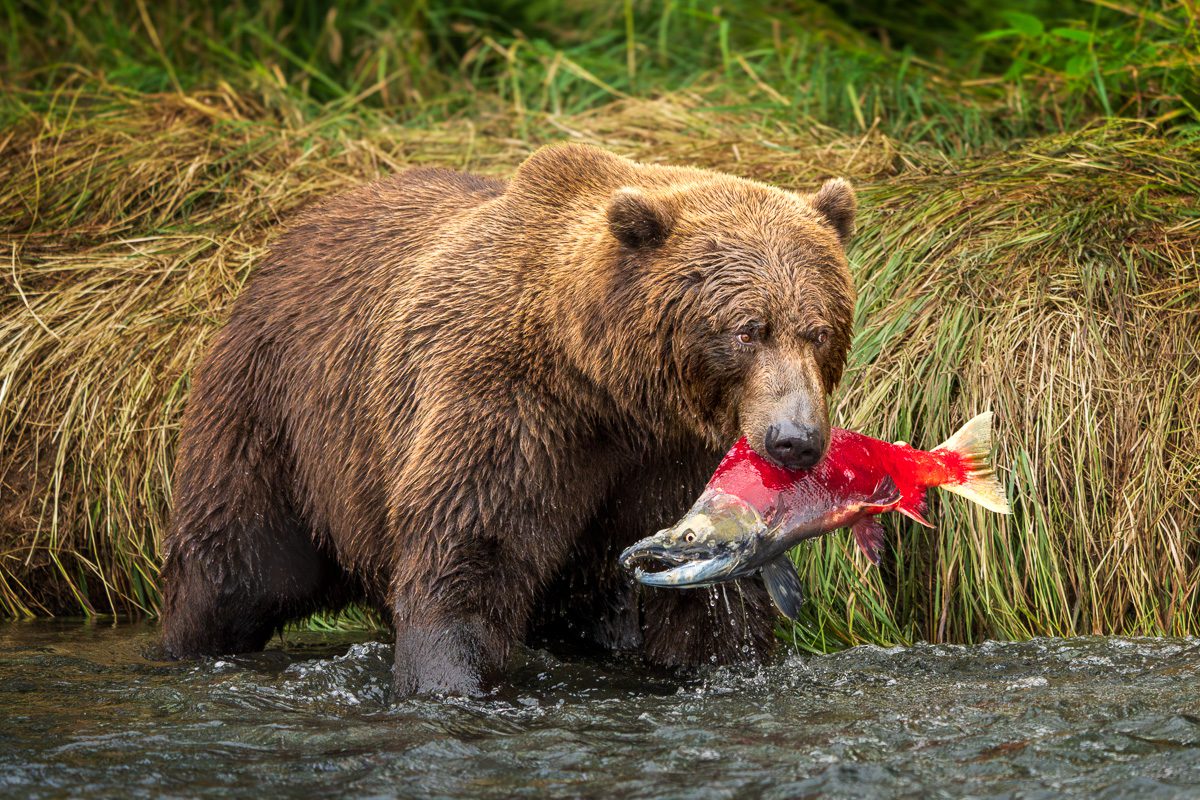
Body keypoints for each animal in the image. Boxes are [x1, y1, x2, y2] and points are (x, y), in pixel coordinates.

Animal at [159, 143, 857, 696]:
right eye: (748, 329)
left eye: (819, 329)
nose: (794, 440)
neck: (606, 385)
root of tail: (295, 227)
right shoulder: (510, 406)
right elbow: (472, 547)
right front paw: (452, 680)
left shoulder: (675, 457)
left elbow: (705, 601)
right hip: (277, 412)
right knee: (233, 561)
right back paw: (186, 644)